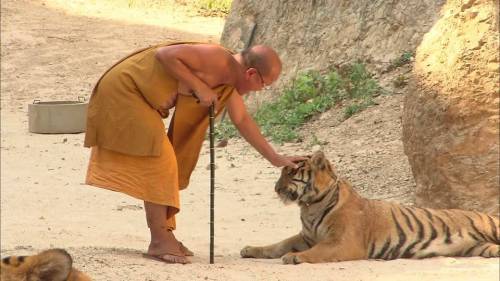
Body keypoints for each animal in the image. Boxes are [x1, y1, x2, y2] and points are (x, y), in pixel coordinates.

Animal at [240, 151, 498, 262]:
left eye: (291, 173)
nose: (275, 188)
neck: (309, 206)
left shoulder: (342, 242)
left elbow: (316, 252)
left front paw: (294, 257)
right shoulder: (305, 236)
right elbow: (278, 245)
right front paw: (251, 250)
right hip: (479, 247)